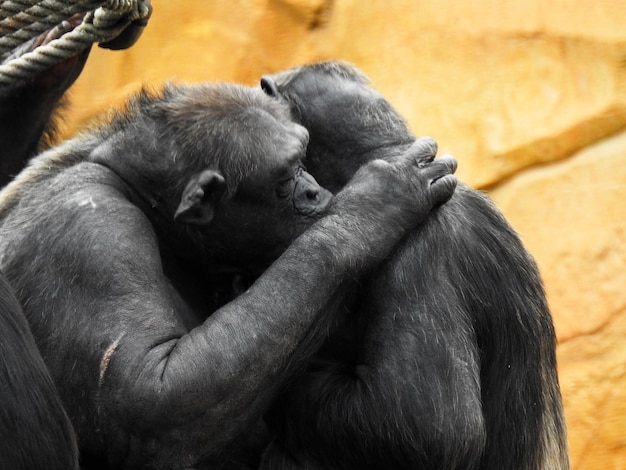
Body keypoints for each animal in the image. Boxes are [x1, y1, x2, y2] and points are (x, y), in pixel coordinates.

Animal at [0, 82, 454, 468]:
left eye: (305, 157)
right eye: (287, 175)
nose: (312, 189)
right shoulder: (87, 234)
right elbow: (148, 400)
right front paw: (375, 204)